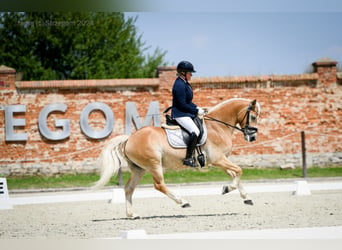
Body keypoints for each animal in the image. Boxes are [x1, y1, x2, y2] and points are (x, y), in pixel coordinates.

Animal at [93, 97, 260, 219]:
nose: (252, 137)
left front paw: (245, 197)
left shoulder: (222, 160)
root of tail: (129, 138)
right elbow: (239, 171)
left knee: (129, 188)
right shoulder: (218, 159)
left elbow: (235, 174)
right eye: (252, 116)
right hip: (154, 164)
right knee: (159, 185)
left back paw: (132, 214)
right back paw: (183, 202)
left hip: (139, 169)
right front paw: (227, 189)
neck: (218, 127)